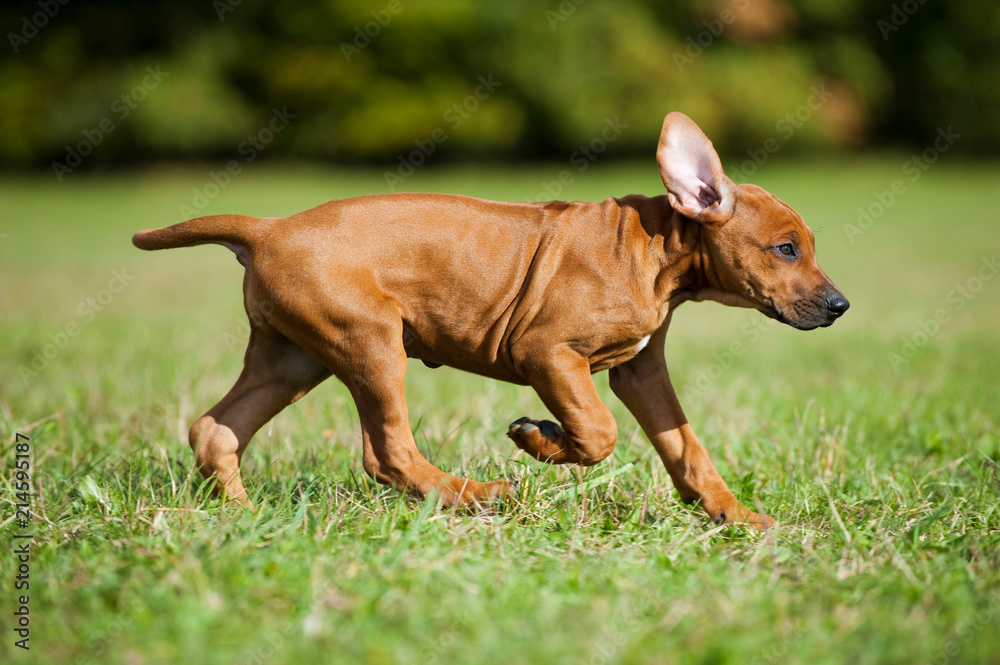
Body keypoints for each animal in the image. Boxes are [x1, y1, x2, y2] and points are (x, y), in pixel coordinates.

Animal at [133, 114, 848, 528]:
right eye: (787, 249)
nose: (840, 306)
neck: (653, 252)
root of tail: (268, 226)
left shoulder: (641, 371)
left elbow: (685, 447)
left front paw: (736, 515)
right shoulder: (548, 353)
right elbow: (599, 433)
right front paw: (539, 439)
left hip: (293, 356)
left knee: (216, 430)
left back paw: (243, 517)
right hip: (369, 342)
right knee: (387, 452)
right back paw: (482, 495)